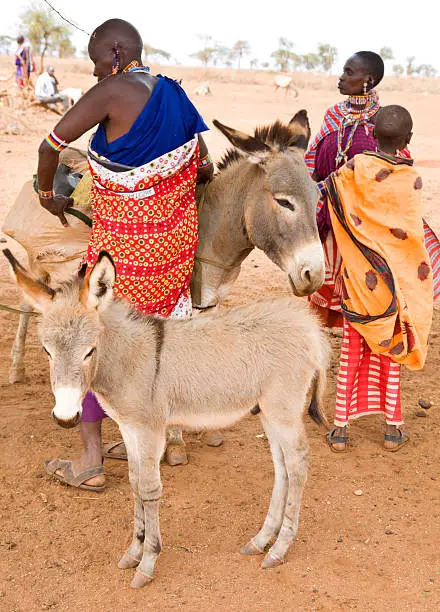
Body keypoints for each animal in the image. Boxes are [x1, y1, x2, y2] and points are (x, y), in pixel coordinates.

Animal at [5, 249, 328, 588]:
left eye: (89, 352)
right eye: (47, 351)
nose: (66, 417)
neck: (129, 359)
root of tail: (308, 326)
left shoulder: (151, 430)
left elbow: (149, 489)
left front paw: (147, 562)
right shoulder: (129, 428)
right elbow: (134, 483)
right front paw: (133, 551)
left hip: (284, 410)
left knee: (297, 464)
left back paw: (279, 548)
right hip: (268, 411)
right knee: (282, 468)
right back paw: (262, 539)